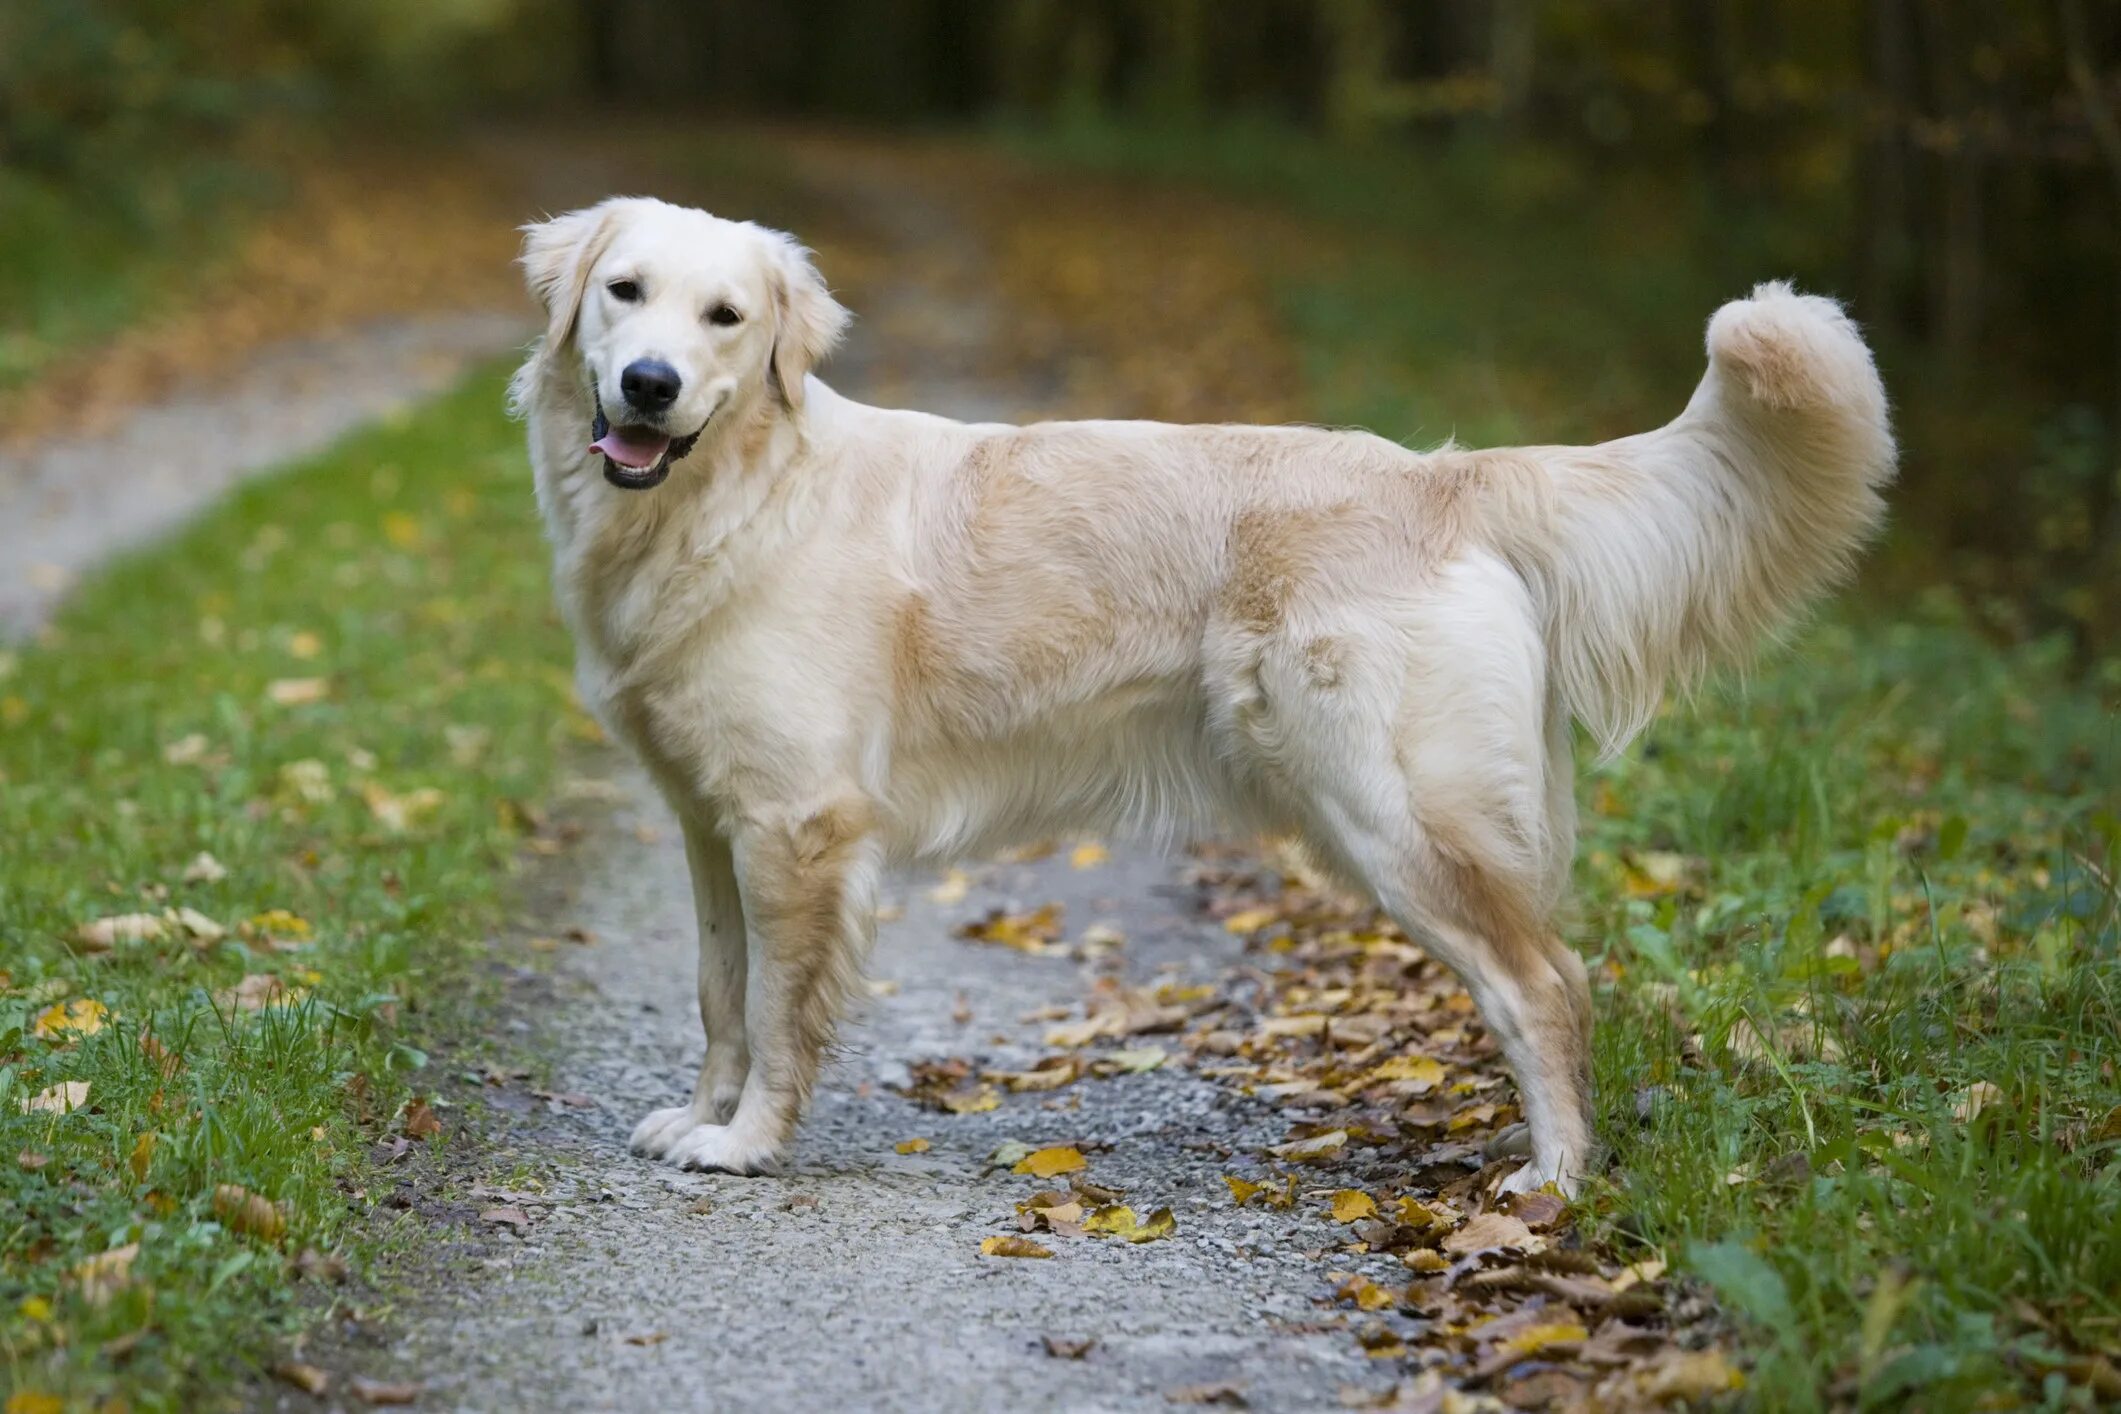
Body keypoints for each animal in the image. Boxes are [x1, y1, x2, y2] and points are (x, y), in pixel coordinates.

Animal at [509, 199, 1891, 1195]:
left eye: (726, 317)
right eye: (625, 293)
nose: (647, 384)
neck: (734, 496)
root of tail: (1445, 476)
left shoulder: (799, 826)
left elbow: (778, 1009)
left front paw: (746, 1143)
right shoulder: (712, 824)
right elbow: (718, 992)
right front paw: (699, 1115)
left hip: (1398, 817)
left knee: (1544, 984)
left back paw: (1552, 1183)